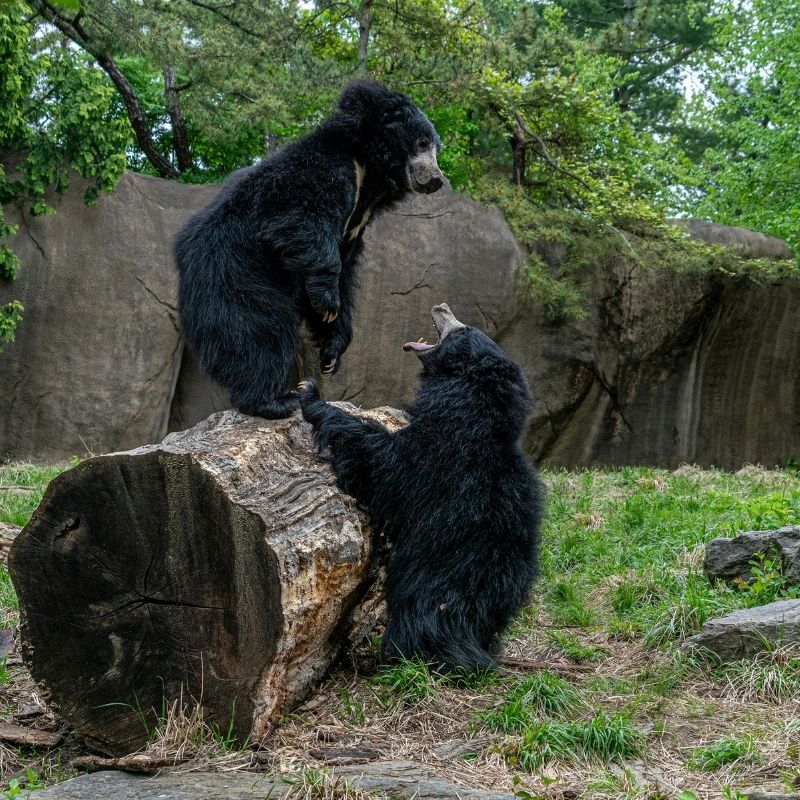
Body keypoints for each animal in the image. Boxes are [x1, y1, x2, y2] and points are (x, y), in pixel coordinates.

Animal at [173, 80, 444, 418]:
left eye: (435, 148)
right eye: (422, 142)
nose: (436, 180)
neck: (370, 174)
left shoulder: (356, 226)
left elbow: (344, 272)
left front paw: (331, 350)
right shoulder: (319, 171)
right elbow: (299, 218)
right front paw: (327, 303)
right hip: (232, 270)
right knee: (258, 329)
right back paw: (274, 400)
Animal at [296, 304, 540, 672]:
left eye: (461, 330)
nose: (441, 306)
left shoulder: (428, 460)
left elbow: (377, 460)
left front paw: (309, 393)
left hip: (431, 579)